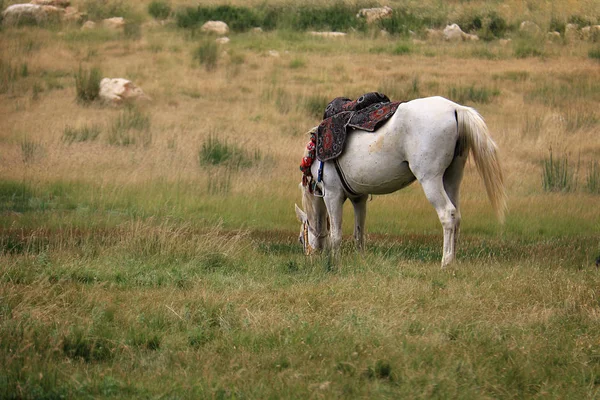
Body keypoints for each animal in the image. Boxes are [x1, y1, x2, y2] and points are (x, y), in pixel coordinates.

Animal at [296, 95, 506, 268]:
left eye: (300, 239)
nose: (309, 257)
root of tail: (455, 108)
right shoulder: (359, 198)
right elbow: (358, 233)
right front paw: (360, 260)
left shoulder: (332, 194)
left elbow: (336, 235)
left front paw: (335, 264)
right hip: (452, 177)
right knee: (457, 216)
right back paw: (453, 260)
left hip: (430, 179)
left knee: (448, 214)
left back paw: (445, 262)